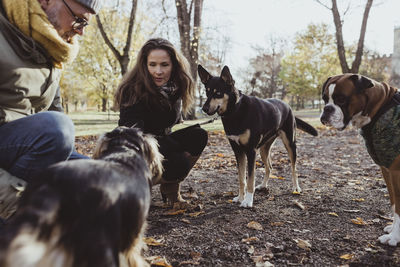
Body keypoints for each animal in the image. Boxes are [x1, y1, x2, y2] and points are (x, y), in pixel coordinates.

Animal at [198, 65, 318, 209]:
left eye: (218, 93)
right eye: (207, 93)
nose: (204, 109)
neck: (235, 110)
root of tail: (287, 105)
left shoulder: (250, 151)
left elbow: (250, 179)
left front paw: (248, 200)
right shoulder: (238, 151)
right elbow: (241, 179)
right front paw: (240, 197)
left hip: (290, 143)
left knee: (294, 168)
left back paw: (296, 188)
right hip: (263, 149)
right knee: (269, 167)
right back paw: (264, 185)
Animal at [320, 73, 400, 247]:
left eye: (341, 99)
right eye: (324, 99)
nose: (326, 109)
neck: (380, 106)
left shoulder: (396, 171)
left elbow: (399, 207)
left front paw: (395, 236)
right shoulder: (387, 170)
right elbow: (394, 203)